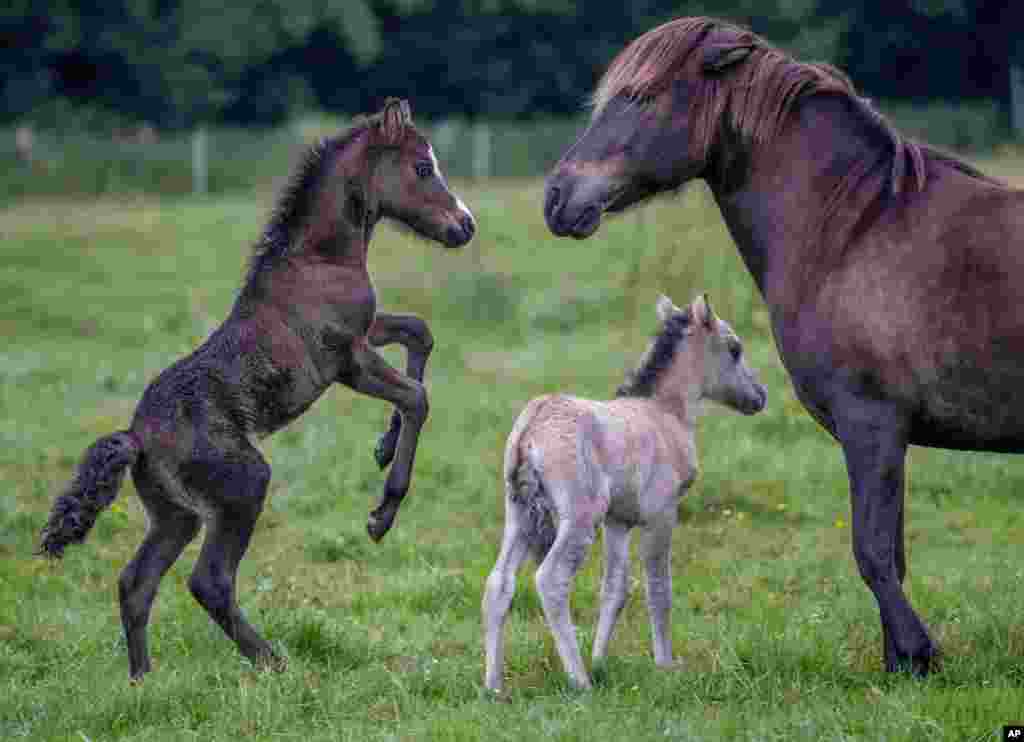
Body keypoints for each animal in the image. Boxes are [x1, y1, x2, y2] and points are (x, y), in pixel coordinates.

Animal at [37, 96, 473, 675]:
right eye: (423, 168)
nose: (465, 225)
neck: (318, 258)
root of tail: (136, 437)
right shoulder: (347, 361)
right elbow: (416, 396)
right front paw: (382, 514)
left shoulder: (368, 330)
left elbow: (419, 335)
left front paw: (382, 447)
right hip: (243, 485)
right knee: (209, 582)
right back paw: (273, 663)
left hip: (175, 515)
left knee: (136, 583)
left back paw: (143, 680)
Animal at [548, 15, 1024, 675]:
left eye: (639, 97)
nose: (557, 197)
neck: (855, 230)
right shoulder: (885, 435)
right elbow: (891, 554)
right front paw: (901, 667)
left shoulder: (871, 425)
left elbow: (872, 552)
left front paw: (917, 652)